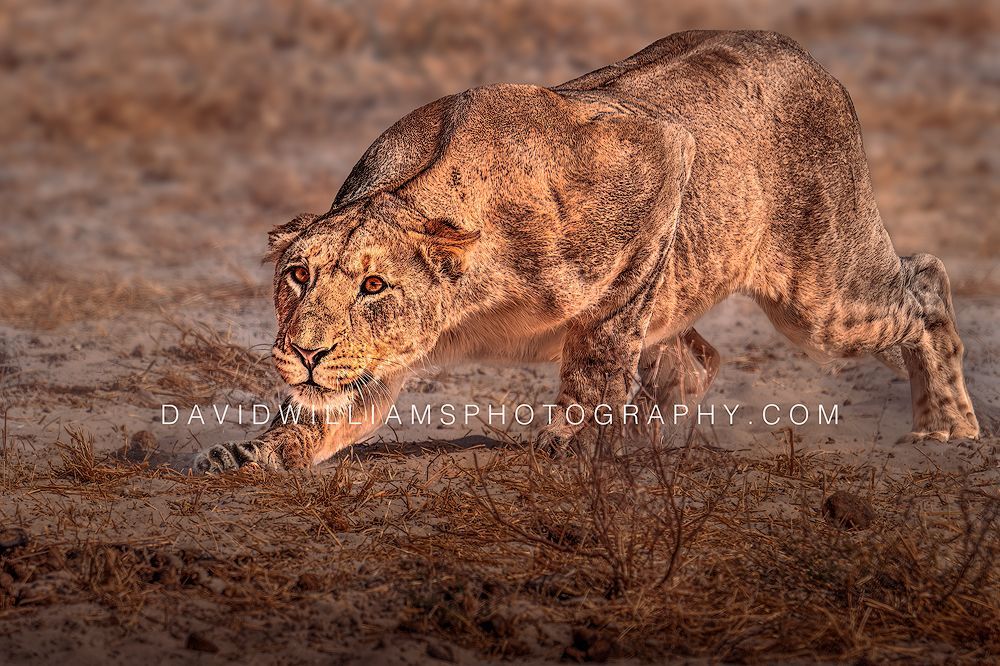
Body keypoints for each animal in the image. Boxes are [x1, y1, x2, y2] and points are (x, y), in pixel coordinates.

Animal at [194, 30, 979, 473]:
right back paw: (651, 432)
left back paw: (949, 426)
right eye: (298, 276)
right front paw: (248, 453)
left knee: (927, 282)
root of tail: (806, 55)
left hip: (820, 295)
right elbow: (320, 415)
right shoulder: (365, 372)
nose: (307, 351)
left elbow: (597, 351)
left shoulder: (660, 153)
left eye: (374, 287)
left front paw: (572, 445)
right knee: (698, 358)